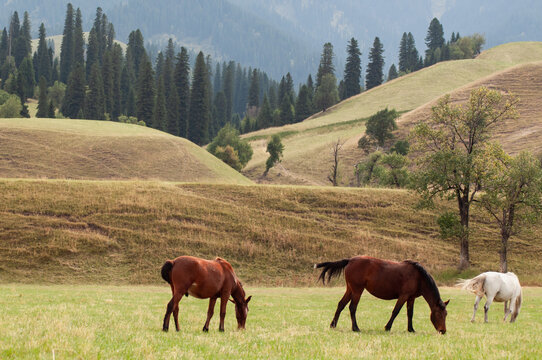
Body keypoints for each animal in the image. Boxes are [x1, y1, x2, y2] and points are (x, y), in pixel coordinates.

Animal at [314, 258, 450, 334]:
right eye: (439, 314)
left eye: (446, 314)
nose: (443, 331)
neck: (418, 277)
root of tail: (350, 260)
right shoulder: (403, 296)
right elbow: (396, 311)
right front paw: (387, 327)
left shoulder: (411, 298)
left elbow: (410, 313)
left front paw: (411, 329)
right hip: (357, 290)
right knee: (352, 307)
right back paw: (355, 327)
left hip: (350, 289)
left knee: (341, 305)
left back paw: (333, 325)